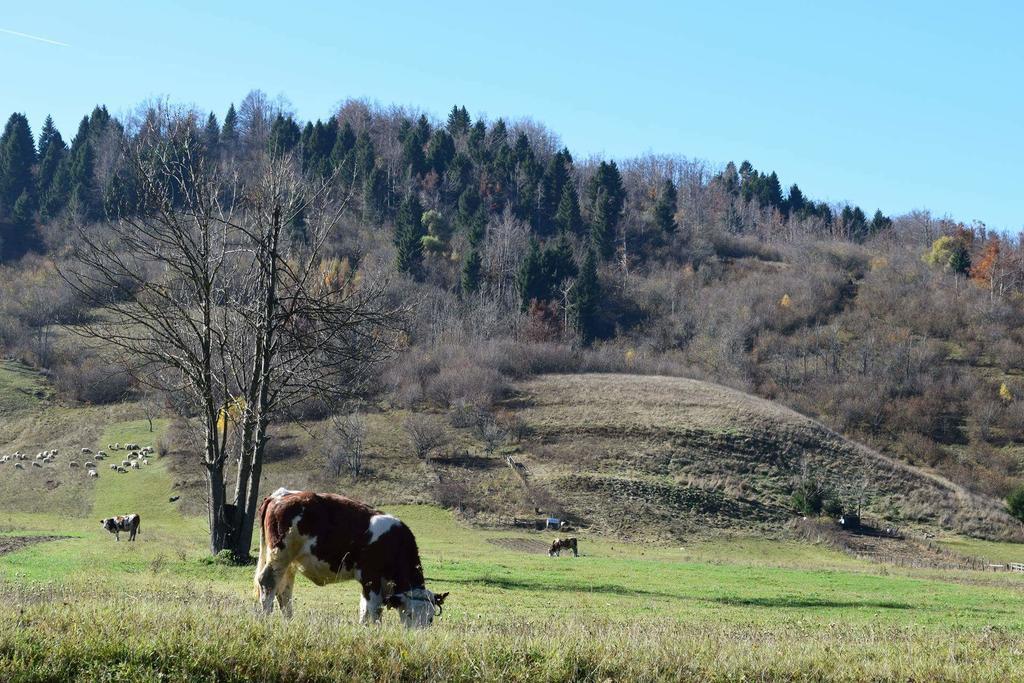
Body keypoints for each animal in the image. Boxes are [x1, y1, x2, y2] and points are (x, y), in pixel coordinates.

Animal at [253, 489, 446, 626]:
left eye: (430, 618)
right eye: (410, 614)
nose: (417, 633)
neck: (395, 542)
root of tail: (280, 495)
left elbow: (365, 609)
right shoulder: (371, 579)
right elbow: (373, 611)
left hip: (289, 563)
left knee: (283, 590)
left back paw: (288, 621)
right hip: (280, 555)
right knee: (268, 583)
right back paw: (266, 618)